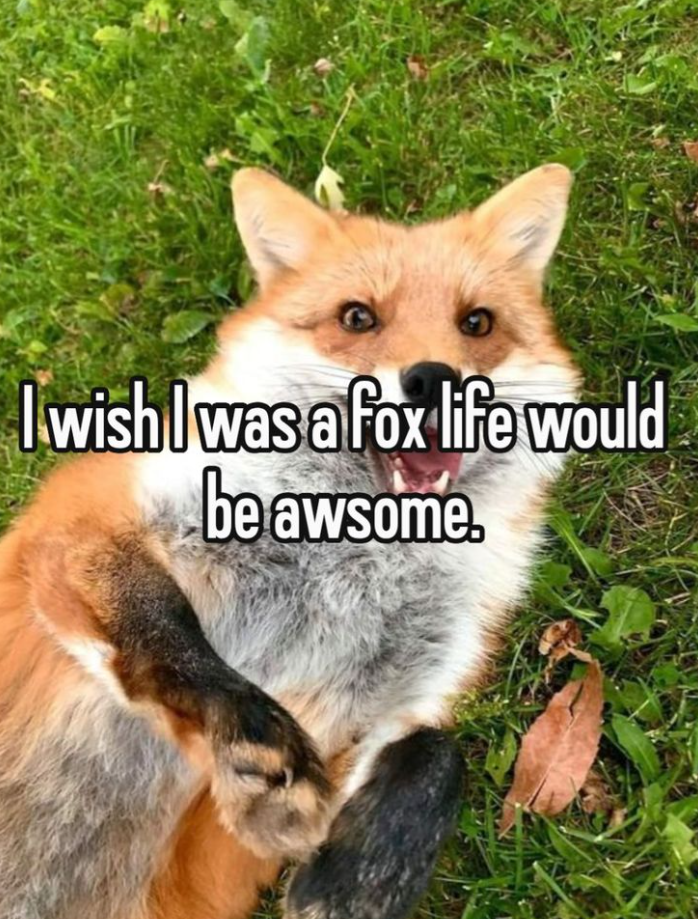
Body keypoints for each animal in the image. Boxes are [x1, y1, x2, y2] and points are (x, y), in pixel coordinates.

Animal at [0, 163, 579, 919]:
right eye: (357, 317)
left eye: (476, 323)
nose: (434, 379)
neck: (348, 556)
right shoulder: (76, 520)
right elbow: (165, 628)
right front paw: (250, 730)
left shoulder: (392, 703)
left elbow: (437, 752)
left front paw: (360, 881)